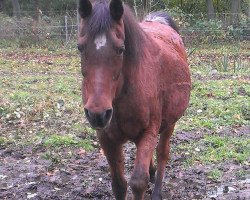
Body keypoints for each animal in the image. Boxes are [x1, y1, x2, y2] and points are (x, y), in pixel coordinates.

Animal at [78, 0, 191, 198]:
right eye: (80, 47)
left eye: (121, 49)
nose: (98, 114)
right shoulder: (106, 137)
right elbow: (118, 184)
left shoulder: (148, 132)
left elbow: (138, 182)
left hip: (170, 123)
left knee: (162, 152)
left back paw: (157, 191)